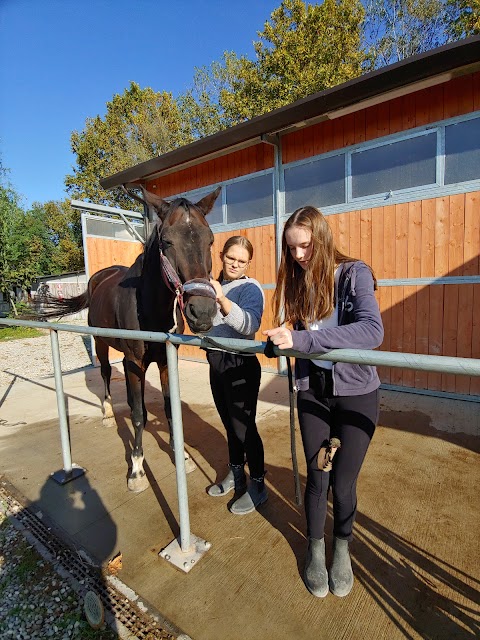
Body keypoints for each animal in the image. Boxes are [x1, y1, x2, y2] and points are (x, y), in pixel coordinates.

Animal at [39, 185, 219, 490]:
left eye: (210, 240)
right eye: (167, 242)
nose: (203, 311)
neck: (150, 307)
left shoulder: (166, 361)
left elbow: (169, 409)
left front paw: (181, 456)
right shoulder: (135, 361)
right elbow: (137, 416)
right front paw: (136, 469)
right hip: (101, 345)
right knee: (105, 374)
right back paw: (108, 414)